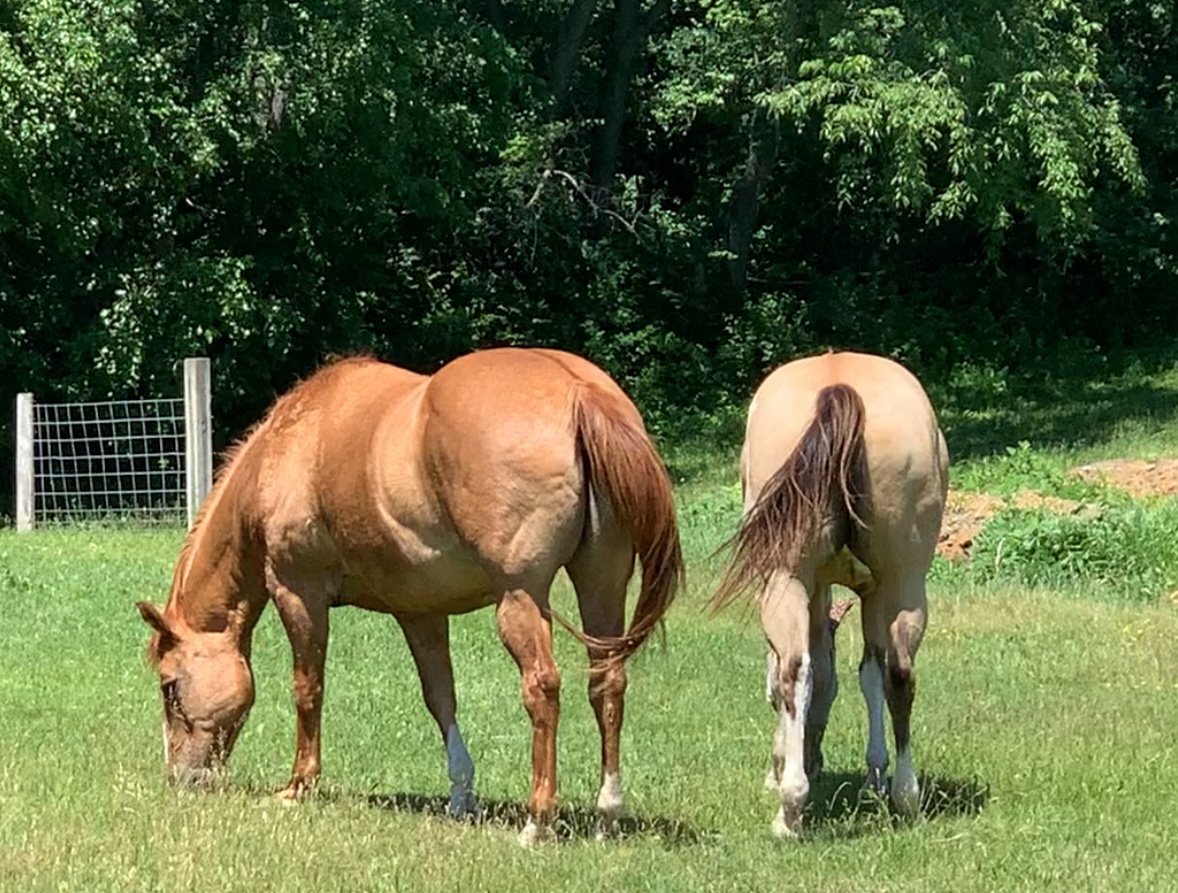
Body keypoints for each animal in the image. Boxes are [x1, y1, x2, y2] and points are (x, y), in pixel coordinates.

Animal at [136, 348, 684, 844]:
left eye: (170, 687)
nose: (182, 778)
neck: (289, 446)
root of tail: (578, 391)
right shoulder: (419, 612)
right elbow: (440, 697)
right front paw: (461, 795)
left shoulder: (298, 592)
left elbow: (307, 689)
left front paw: (298, 785)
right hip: (602, 583)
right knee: (607, 682)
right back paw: (607, 814)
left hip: (520, 597)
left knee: (543, 688)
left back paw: (537, 821)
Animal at [713, 351, 947, 838]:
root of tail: (840, 385)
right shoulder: (870, 590)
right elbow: (865, 673)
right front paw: (874, 776)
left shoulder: (824, 591)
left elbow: (816, 675)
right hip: (902, 583)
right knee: (898, 673)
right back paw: (904, 796)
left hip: (789, 577)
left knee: (796, 670)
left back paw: (790, 807)